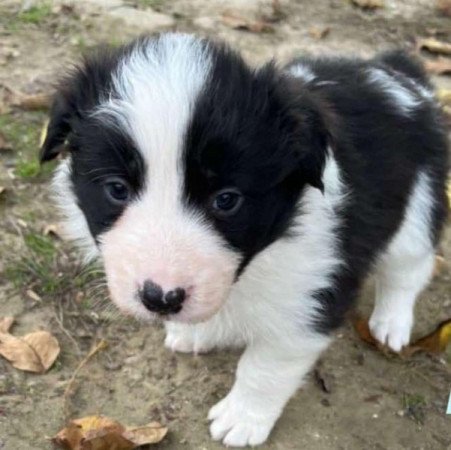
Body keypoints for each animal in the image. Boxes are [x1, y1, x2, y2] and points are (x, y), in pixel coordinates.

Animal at [41, 34, 448, 446]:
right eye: (117, 189)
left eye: (226, 199)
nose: (161, 299)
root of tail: (397, 73)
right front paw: (197, 330)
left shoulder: (310, 296)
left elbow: (265, 365)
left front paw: (242, 417)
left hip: (417, 206)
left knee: (408, 269)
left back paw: (391, 322)